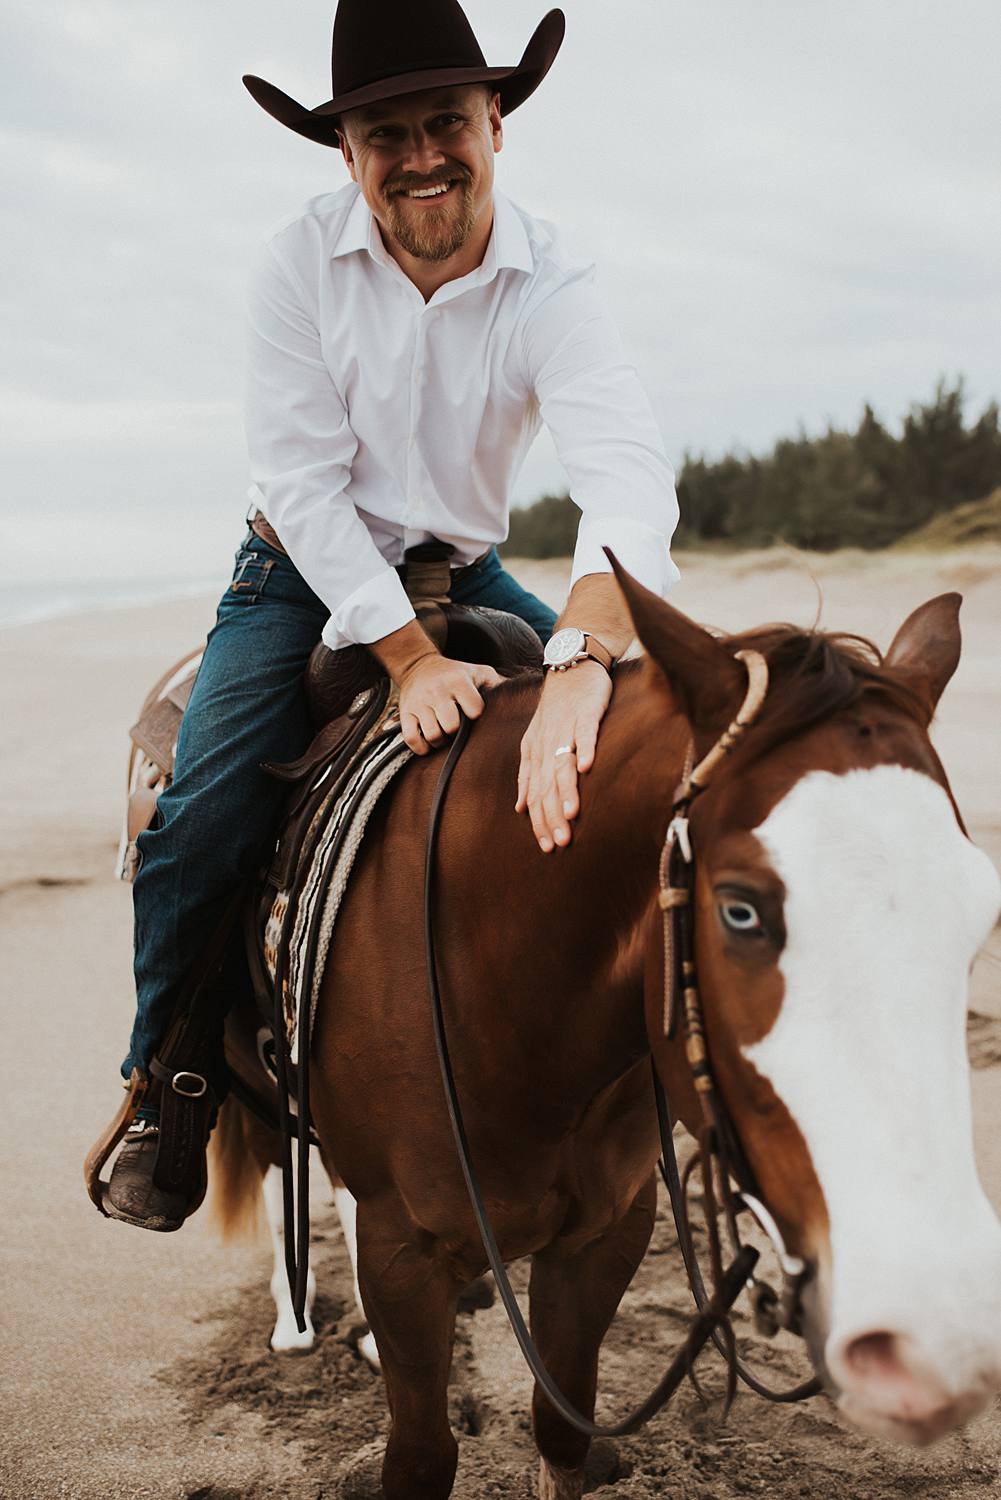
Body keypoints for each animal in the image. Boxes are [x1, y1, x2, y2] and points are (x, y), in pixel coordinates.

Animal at [213, 567, 1001, 1494]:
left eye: (977, 911)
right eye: (739, 909)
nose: (935, 1332)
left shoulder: (603, 1235)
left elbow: (560, 1428)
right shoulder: (403, 1251)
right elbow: (421, 1455)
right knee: (277, 1168)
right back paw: (295, 1325)